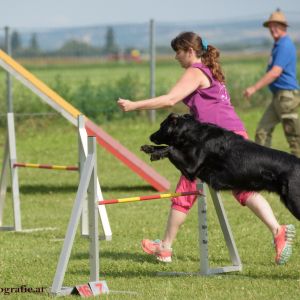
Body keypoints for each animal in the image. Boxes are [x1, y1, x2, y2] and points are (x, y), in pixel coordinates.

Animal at [142, 112, 300, 220]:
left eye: (162, 126)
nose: (150, 136)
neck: (194, 134)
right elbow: (169, 146)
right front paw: (149, 148)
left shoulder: (191, 168)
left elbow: (171, 148)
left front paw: (156, 153)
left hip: (294, 201)